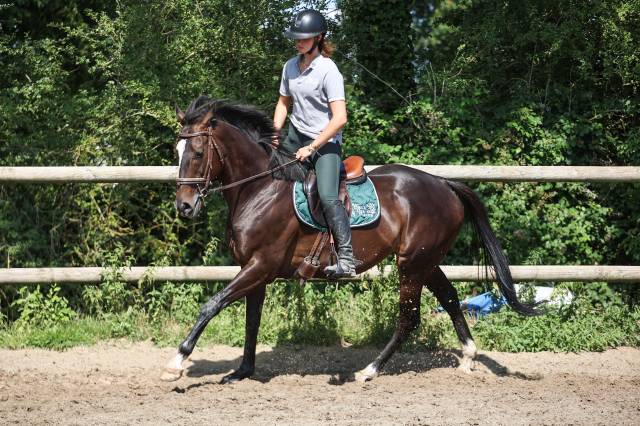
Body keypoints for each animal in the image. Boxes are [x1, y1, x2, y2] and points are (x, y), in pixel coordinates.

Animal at [160, 95, 539, 384]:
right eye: (176, 151)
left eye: (197, 152)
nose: (184, 206)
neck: (260, 189)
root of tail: (444, 184)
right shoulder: (254, 270)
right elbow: (251, 320)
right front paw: (242, 371)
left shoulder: (260, 266)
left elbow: (212, 305)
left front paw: (176, 363)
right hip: (426, 261)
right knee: (448, 297)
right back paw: (468, 356)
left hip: (412, 264)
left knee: (409, 317)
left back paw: (369, 370)